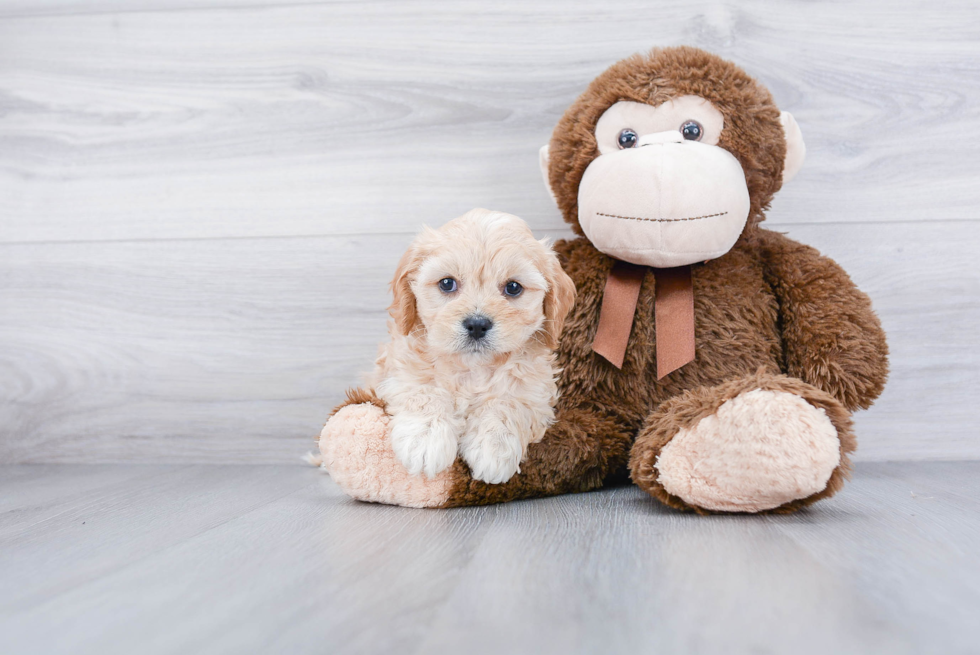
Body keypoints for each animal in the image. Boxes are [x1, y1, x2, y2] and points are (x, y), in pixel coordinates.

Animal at [372, 208, 580, 484]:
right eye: (447, 283)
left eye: (513, 287)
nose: (477, 325)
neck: (473, 369)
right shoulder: (398, 371)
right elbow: (424, 390)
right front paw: (425, 437)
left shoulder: (535, 393)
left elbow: (508, 402)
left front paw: (494, 447)